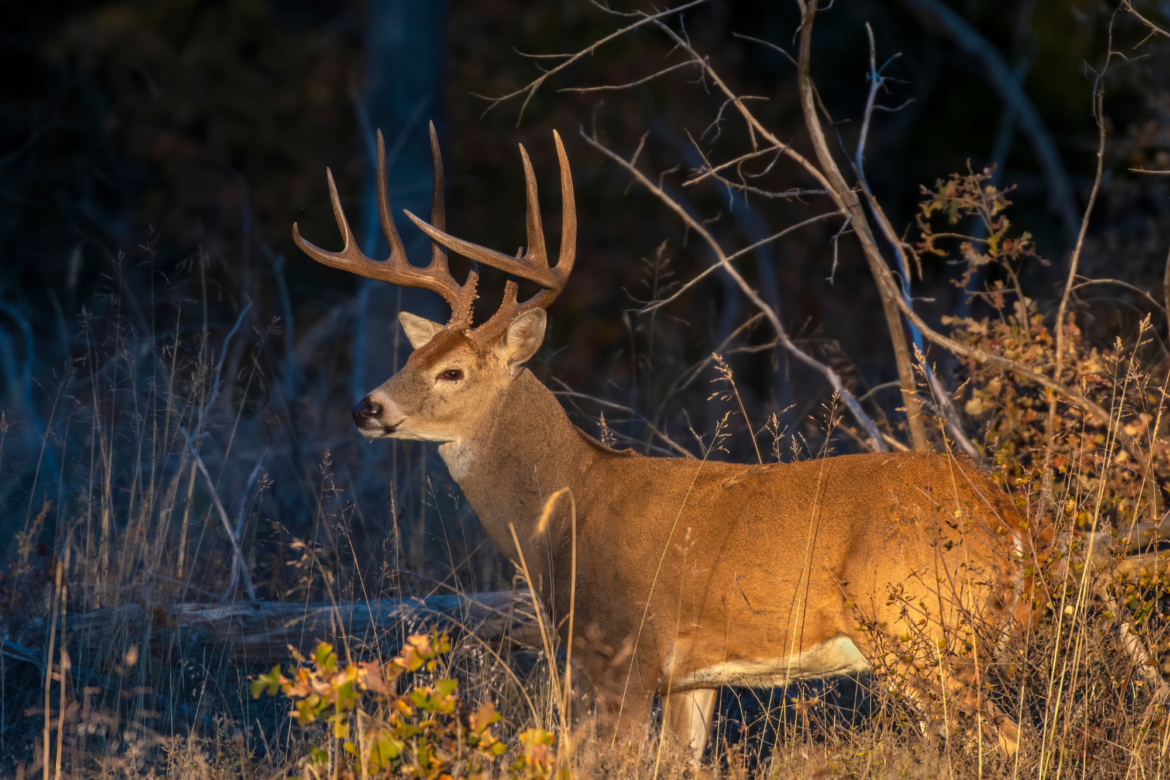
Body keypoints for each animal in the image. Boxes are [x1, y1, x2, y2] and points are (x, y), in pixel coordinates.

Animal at [293, 122, 1038, 762]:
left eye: (453, 371)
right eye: (413, 357)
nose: (366, 407)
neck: (569, 507)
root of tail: (1009, 517)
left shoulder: (623, 654)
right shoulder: (694, 676)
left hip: (924, 631)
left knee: (1007, 740)